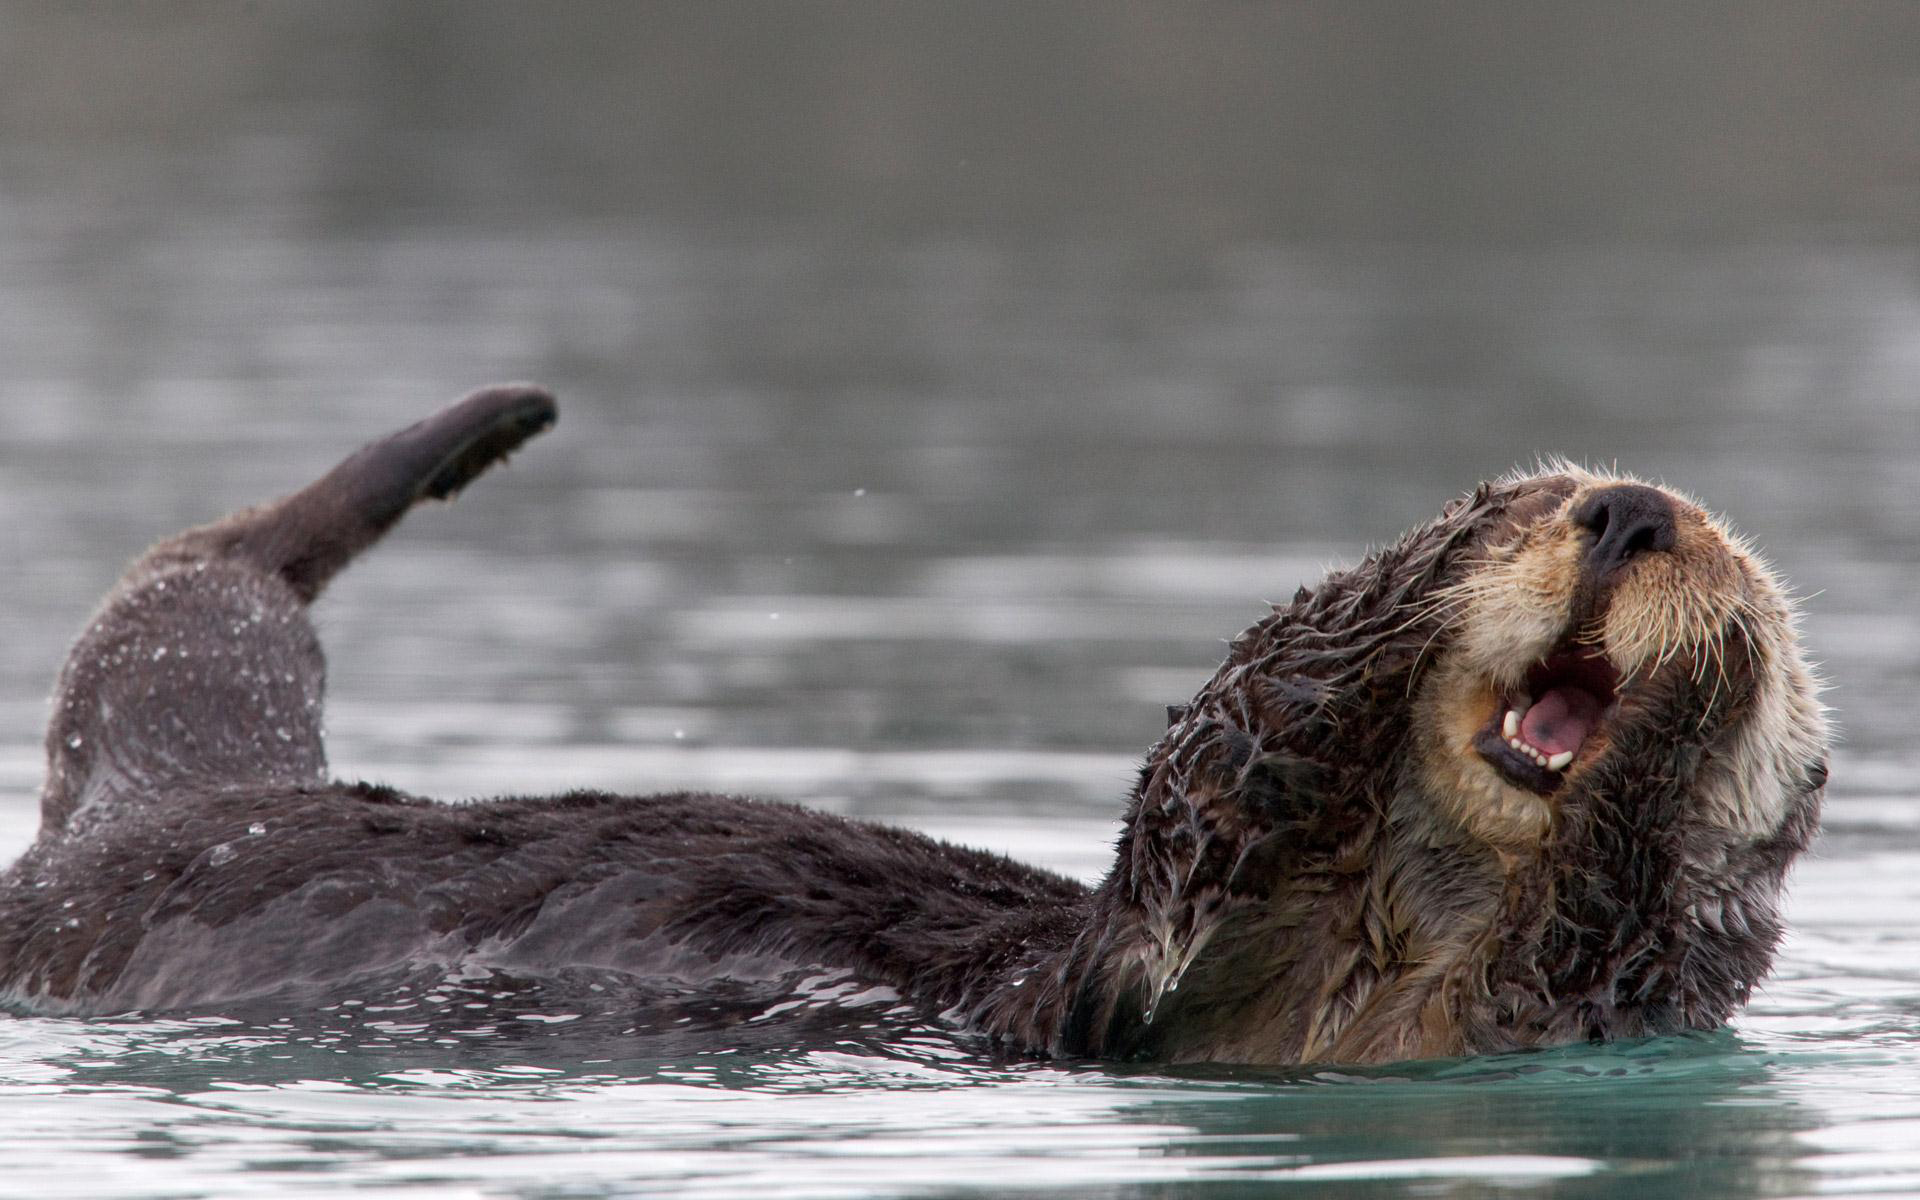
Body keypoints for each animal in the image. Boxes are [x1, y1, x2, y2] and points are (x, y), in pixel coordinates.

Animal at [0, 387, 1827, 1059]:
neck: (1397, 926)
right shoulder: (1159, 923)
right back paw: (484, 424)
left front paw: (1681, 726)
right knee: (207, 574)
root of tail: (153, 810)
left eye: (1752, 585)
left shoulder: (1548, 1007)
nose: (1631, 512)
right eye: (1518, 500)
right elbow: (1241, 734)